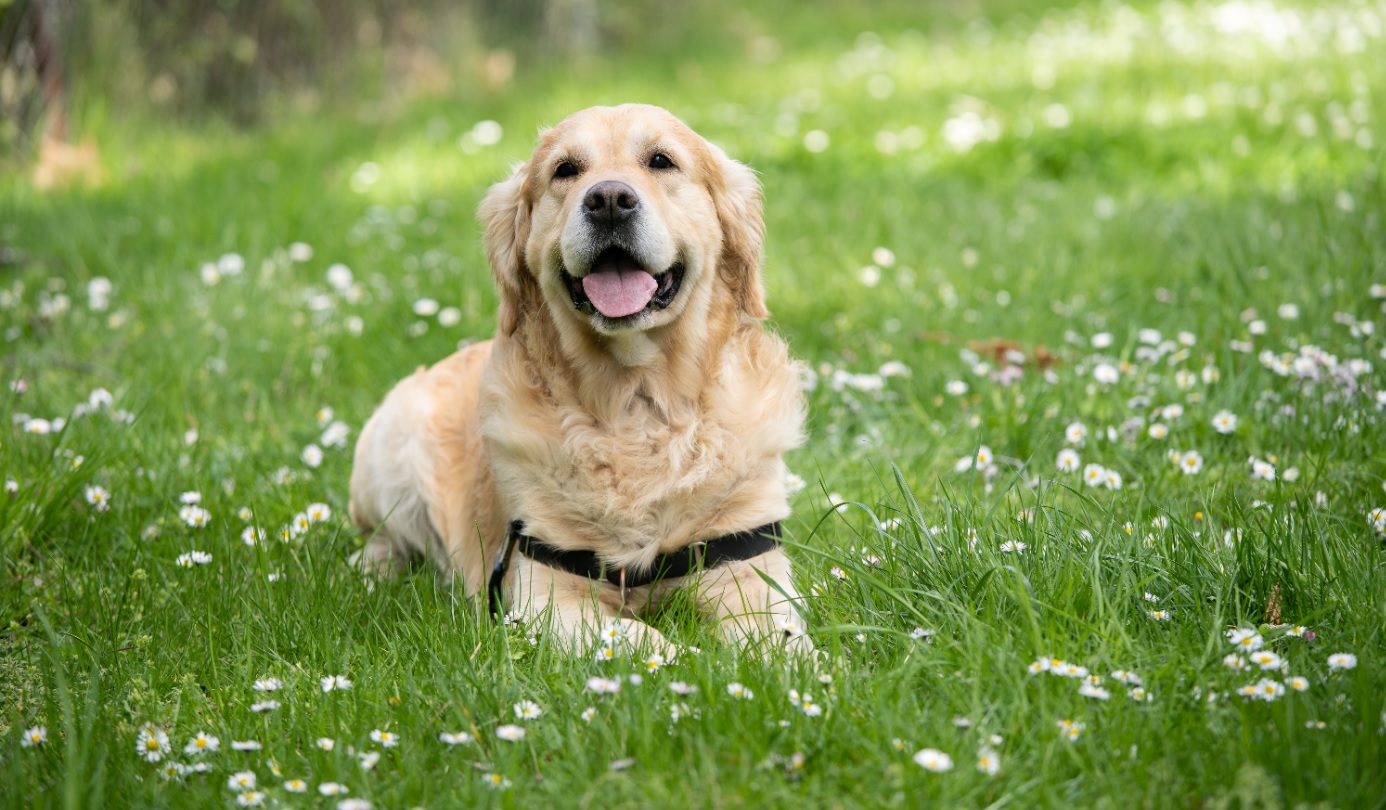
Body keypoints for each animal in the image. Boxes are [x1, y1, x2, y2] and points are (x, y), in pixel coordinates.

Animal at [345, 106, 809, 651]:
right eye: (565, 170)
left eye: (661, 161)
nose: (608, 200)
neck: (636, 404)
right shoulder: (544, 596)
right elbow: (644, 639)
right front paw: (689, 657)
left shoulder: (748, 567)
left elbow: (780, 641)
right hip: (391, 447)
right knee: (383, 540)